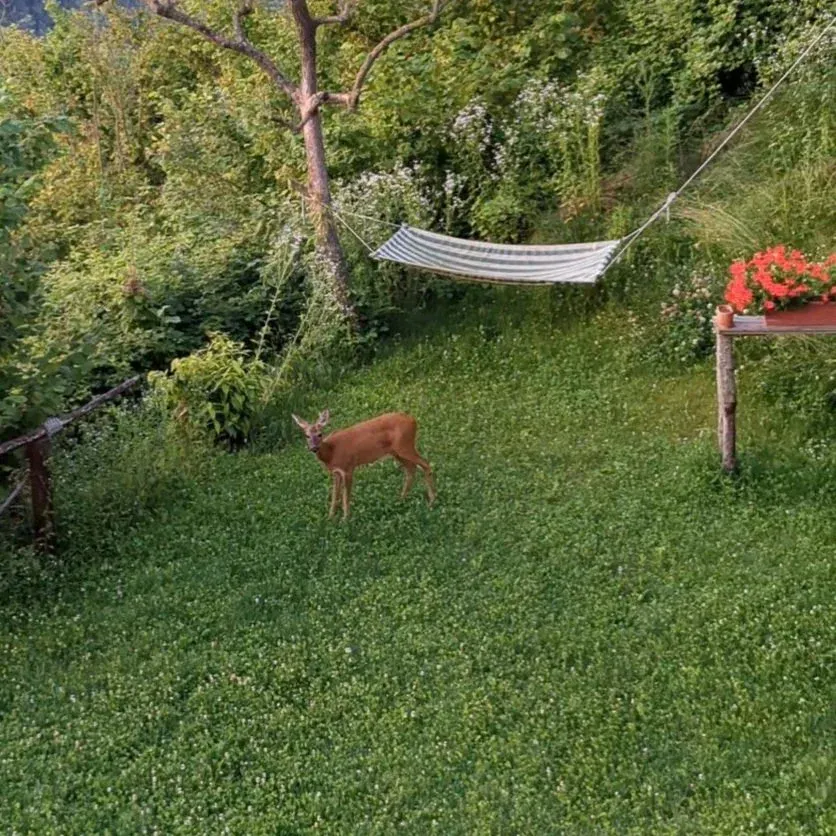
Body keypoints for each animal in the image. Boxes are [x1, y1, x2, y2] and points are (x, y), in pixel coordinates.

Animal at [292, 410, 436, 520]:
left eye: (320, 434)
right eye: (306, 435)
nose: (313, 448)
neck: (331, 453)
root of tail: (413, 420)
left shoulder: (348, 467)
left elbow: (346, 495)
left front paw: (345, 519)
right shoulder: (336, 472)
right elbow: (335, 494)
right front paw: (330, 517)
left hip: (405, 446)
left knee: (425, 464)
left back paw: (432, 501)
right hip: (396, 452)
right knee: (411, 469)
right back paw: (401, 499)